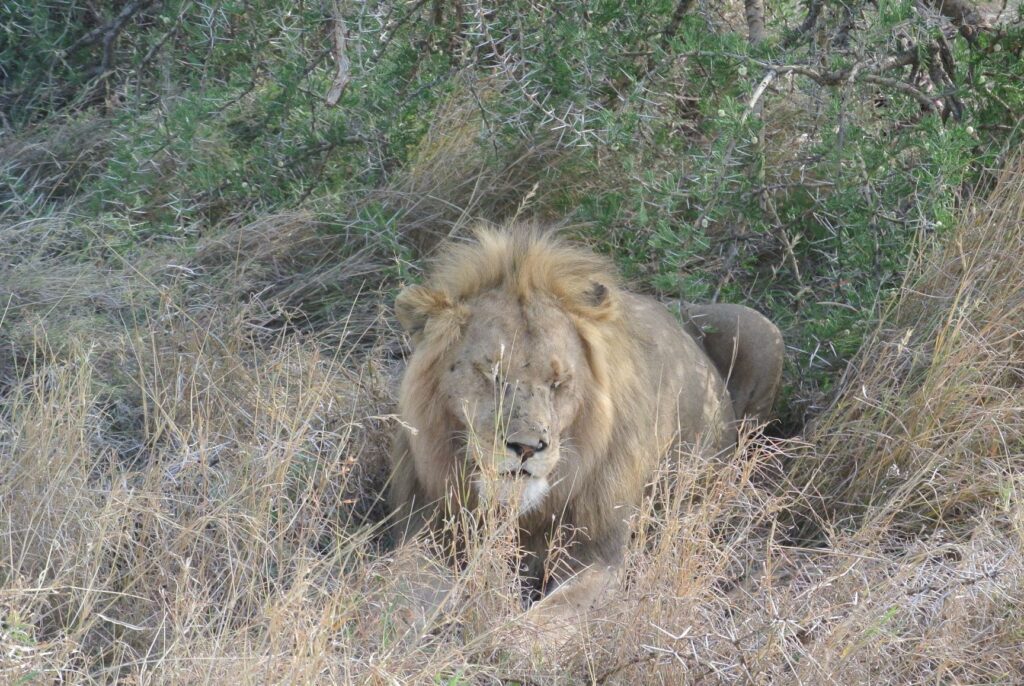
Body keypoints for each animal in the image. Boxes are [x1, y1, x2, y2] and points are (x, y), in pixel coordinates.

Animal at [389, 225, 783, 640]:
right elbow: (402, 591)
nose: (526, 448)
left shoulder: (602, 555)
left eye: (558, 382)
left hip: (760, 329)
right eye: (491, 373)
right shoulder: (428, 528)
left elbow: (550, 617)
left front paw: (498, 641)